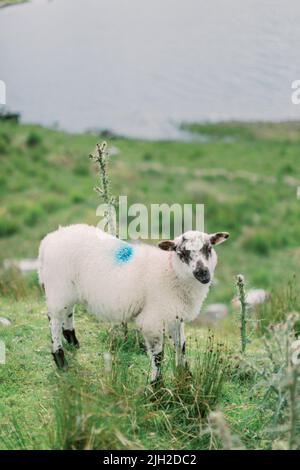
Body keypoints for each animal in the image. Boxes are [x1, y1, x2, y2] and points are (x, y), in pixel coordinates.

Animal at [38, 223, 229, 382]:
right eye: (181, 253)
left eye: (209, 248)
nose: (203, 273)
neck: (171, 271)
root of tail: (50, 239)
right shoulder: (152, 321)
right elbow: (158, 356)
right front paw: (156, 387)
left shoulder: (175, 316)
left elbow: (181, 346)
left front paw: (186, 376)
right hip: (58, 286)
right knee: (54, 319)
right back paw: (60, 358)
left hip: (69, 290)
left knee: (68, 312)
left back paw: (72, 340)